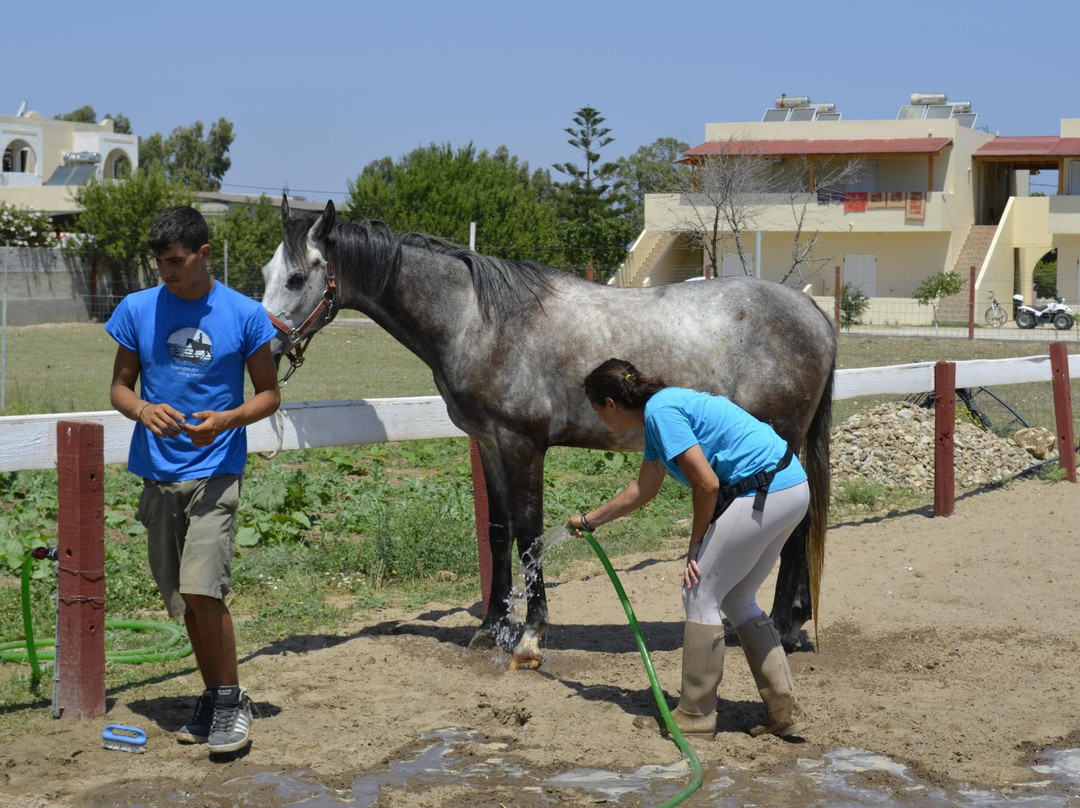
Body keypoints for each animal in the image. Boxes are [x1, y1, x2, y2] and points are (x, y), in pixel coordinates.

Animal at [261, 198, 836, 668]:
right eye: (267, 271)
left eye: (297, 278)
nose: (265, 347)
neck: (480, 323)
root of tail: (811, 310)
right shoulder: (490, 445)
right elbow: (498, 533)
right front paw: (490, 627)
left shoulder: (524, 446)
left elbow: (530, 533)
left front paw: (531, 636)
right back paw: (789, 623)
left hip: (777, 446)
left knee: (794, 526)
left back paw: (783, 626)